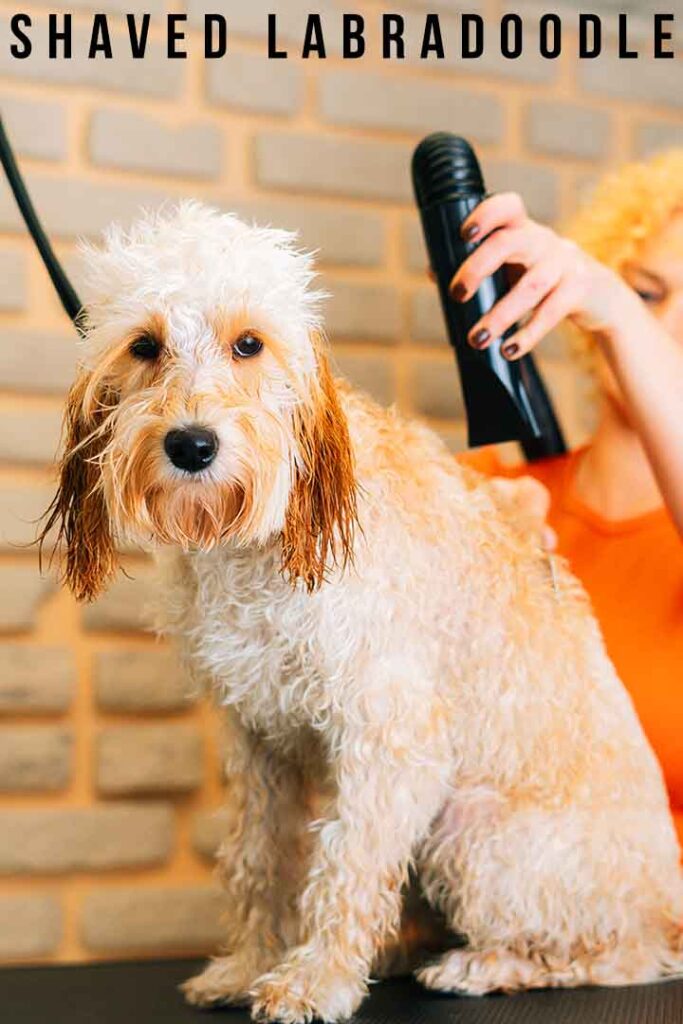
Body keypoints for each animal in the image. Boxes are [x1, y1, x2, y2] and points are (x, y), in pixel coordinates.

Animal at [45, 201, 679, 1024]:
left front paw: (314, 980)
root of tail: (669, 901)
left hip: (475, 835)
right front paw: (248, 965)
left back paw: (479, 965)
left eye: (248, 343)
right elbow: (258, 859)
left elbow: (345, 863)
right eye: (145, 345)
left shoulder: (389, 735)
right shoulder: (259, 743)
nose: (191, 445)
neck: (258, 547)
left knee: (619, 954)